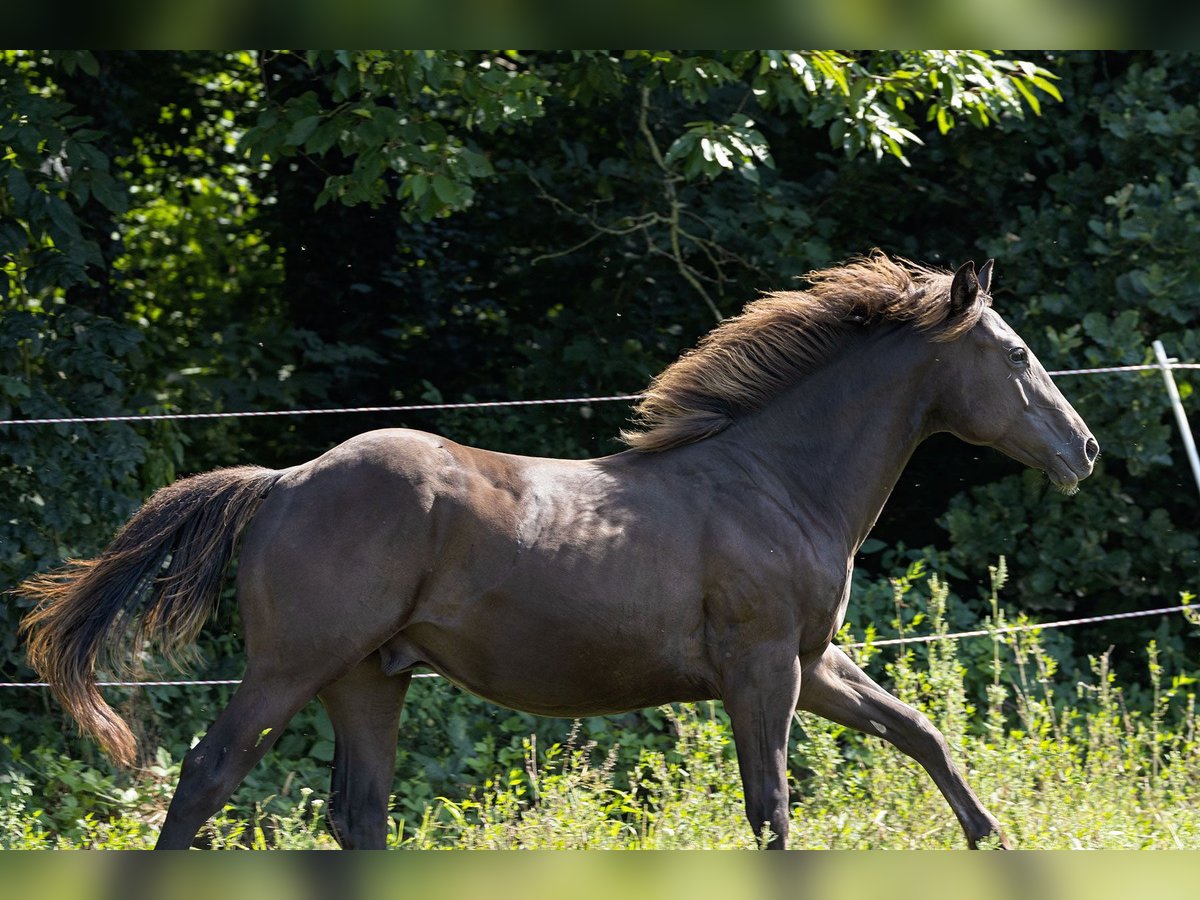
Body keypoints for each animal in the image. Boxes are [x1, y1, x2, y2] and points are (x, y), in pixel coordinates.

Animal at [21, 250, 1104, 849]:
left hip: (369, 679)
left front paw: (996, 842)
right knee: (209, 774)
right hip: (292, 666)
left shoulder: (811, 660)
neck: (774, 481)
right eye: (1015, 355)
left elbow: (918, 731)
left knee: (357, 816)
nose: (1084, 449)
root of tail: (284, 482)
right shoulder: (762, 669)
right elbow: (772, 806)